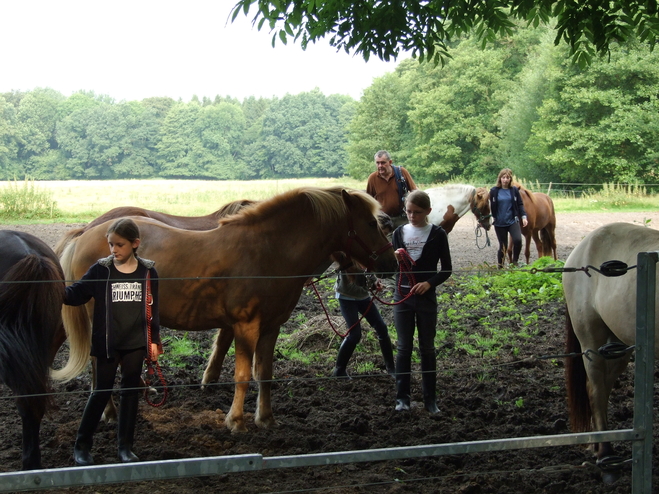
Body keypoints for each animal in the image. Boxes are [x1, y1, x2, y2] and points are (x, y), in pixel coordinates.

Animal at [55, 186, 398, 432]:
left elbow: (265, 374)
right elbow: (243, 374)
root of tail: (85, 234)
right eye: (371, 223)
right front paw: (236, 421)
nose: (391, 263)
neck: (268, 251)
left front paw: (266, 418)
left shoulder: (271, 327)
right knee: (99, 367)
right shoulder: (246, 326)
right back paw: (111, 413)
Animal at [564, 222, 659, 480]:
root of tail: (581, 247)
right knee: (596, 391)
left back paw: (598, 446)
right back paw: (606, 457)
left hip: (618, 346)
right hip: (591, 341)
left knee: (603, 390)